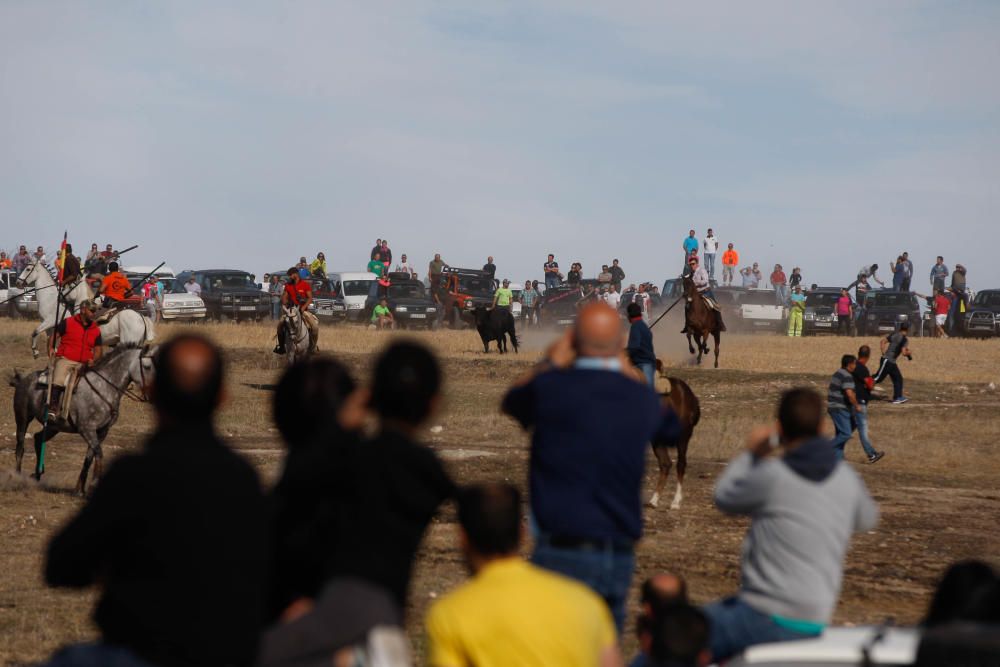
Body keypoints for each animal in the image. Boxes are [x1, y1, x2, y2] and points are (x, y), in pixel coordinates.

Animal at [644, 360, 700, 512]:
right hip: (658, 440)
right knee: (666, 464)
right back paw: (653, 500)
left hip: (683, 436)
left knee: (680, 464)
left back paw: (675, 502)